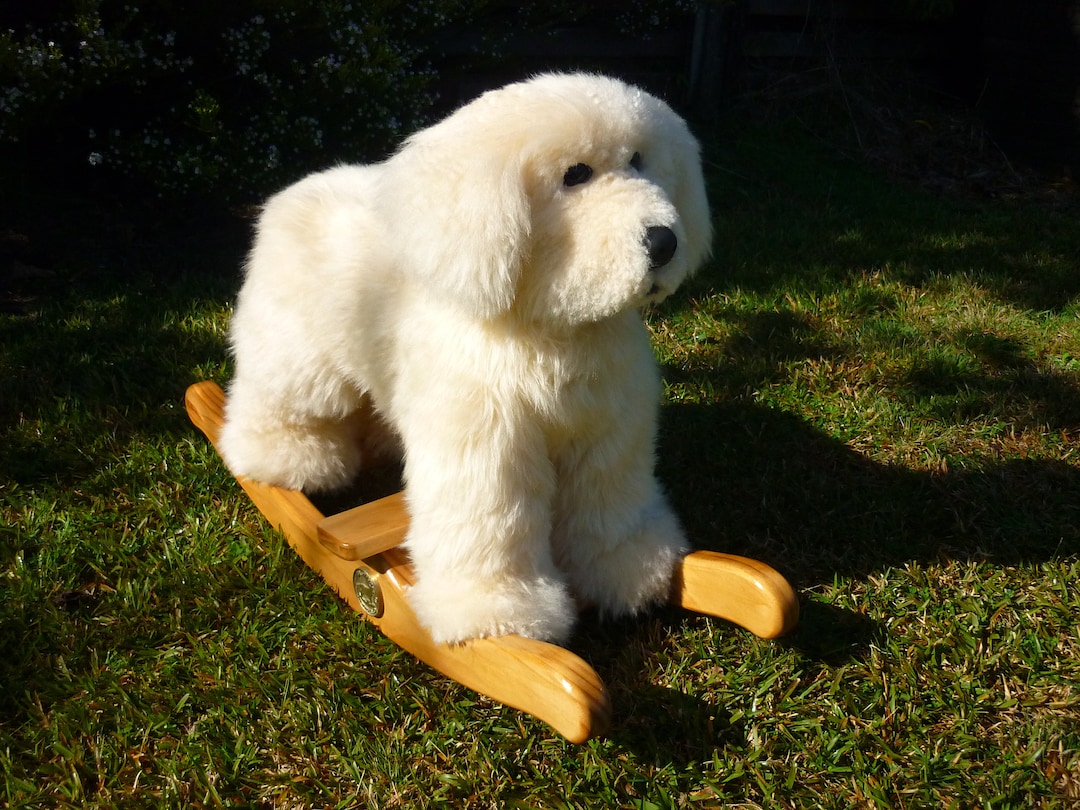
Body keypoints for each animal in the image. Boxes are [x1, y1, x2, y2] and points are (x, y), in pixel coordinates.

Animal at [219, 76, 712, 648]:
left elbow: (609, 510)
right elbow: (493, 529)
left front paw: (630, 572)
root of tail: (293, 190)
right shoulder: (490, 450)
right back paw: (286, 461)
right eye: (575, 174)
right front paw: (499, 617)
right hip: (297, 365)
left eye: (638, 160)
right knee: (269, 408)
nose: (664, 242)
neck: (551, 333)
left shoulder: (607, 436)